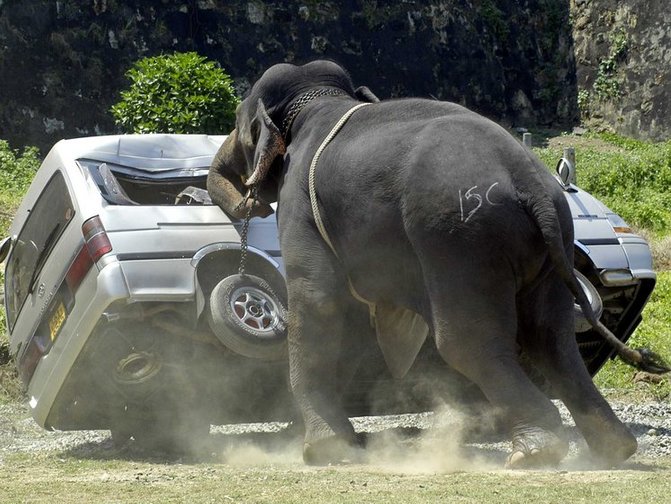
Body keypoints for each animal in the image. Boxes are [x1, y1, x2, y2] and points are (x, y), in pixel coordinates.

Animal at [207, 59, 660, 468]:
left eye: (240, 124)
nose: (246, 199)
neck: (321, 100)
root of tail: (530, 181)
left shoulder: (299, 202)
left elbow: (319, 300)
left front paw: (325, 452)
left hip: (459, 238)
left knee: (467, 340)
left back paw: (536, 452)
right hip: (551, 243)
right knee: (552, 336)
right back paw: (614, 449)